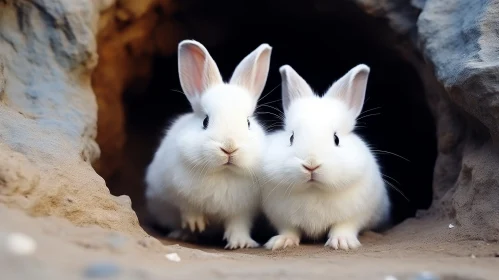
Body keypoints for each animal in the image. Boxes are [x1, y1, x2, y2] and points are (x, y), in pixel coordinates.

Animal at [146, 39, 272, 249]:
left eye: (248, 123)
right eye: (205, 121)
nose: (229, 147)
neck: (223, 172)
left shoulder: (243, 209)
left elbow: (238, 223)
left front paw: (240, 243)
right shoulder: (176, 192)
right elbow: (188, 208)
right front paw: (195, 225)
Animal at [262, 64, 390, 252]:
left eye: (336, 139)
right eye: (291, 137)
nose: (311, 165)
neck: (314, 190)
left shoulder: (355, 214)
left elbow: (344, 226)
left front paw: (343, 243)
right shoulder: (281, 217)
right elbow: (289, 230)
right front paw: (280, 242)